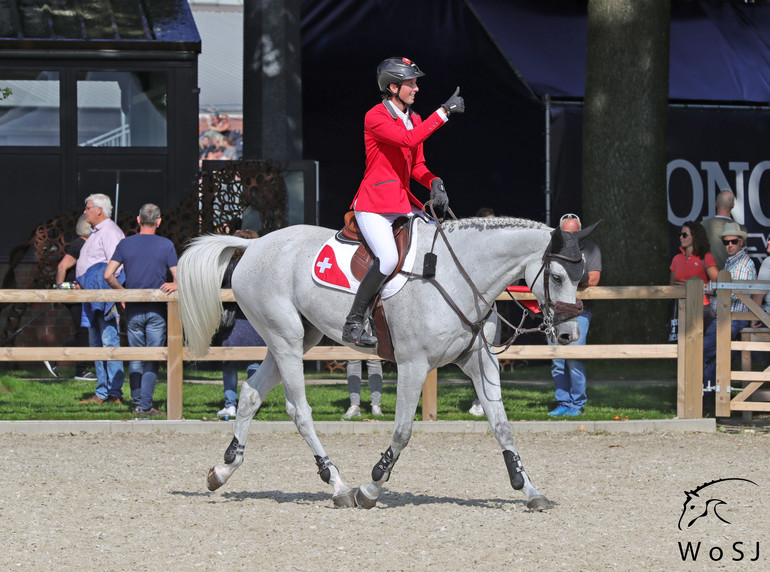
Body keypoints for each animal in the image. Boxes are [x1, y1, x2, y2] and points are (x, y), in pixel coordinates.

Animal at [178, 216, 588, 510]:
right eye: (556, 276)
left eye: (581, 276)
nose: (568, 334)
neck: (458, 275)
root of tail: (254, 244)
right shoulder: (413, 365)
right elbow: (403, 431)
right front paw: (371, 487)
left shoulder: (479, 362)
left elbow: (502, 427)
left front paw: (529, 489)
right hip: (286, 340)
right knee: (300, 411)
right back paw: (338, 486)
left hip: (296, 339)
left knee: (250, 394)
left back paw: (223, 470)